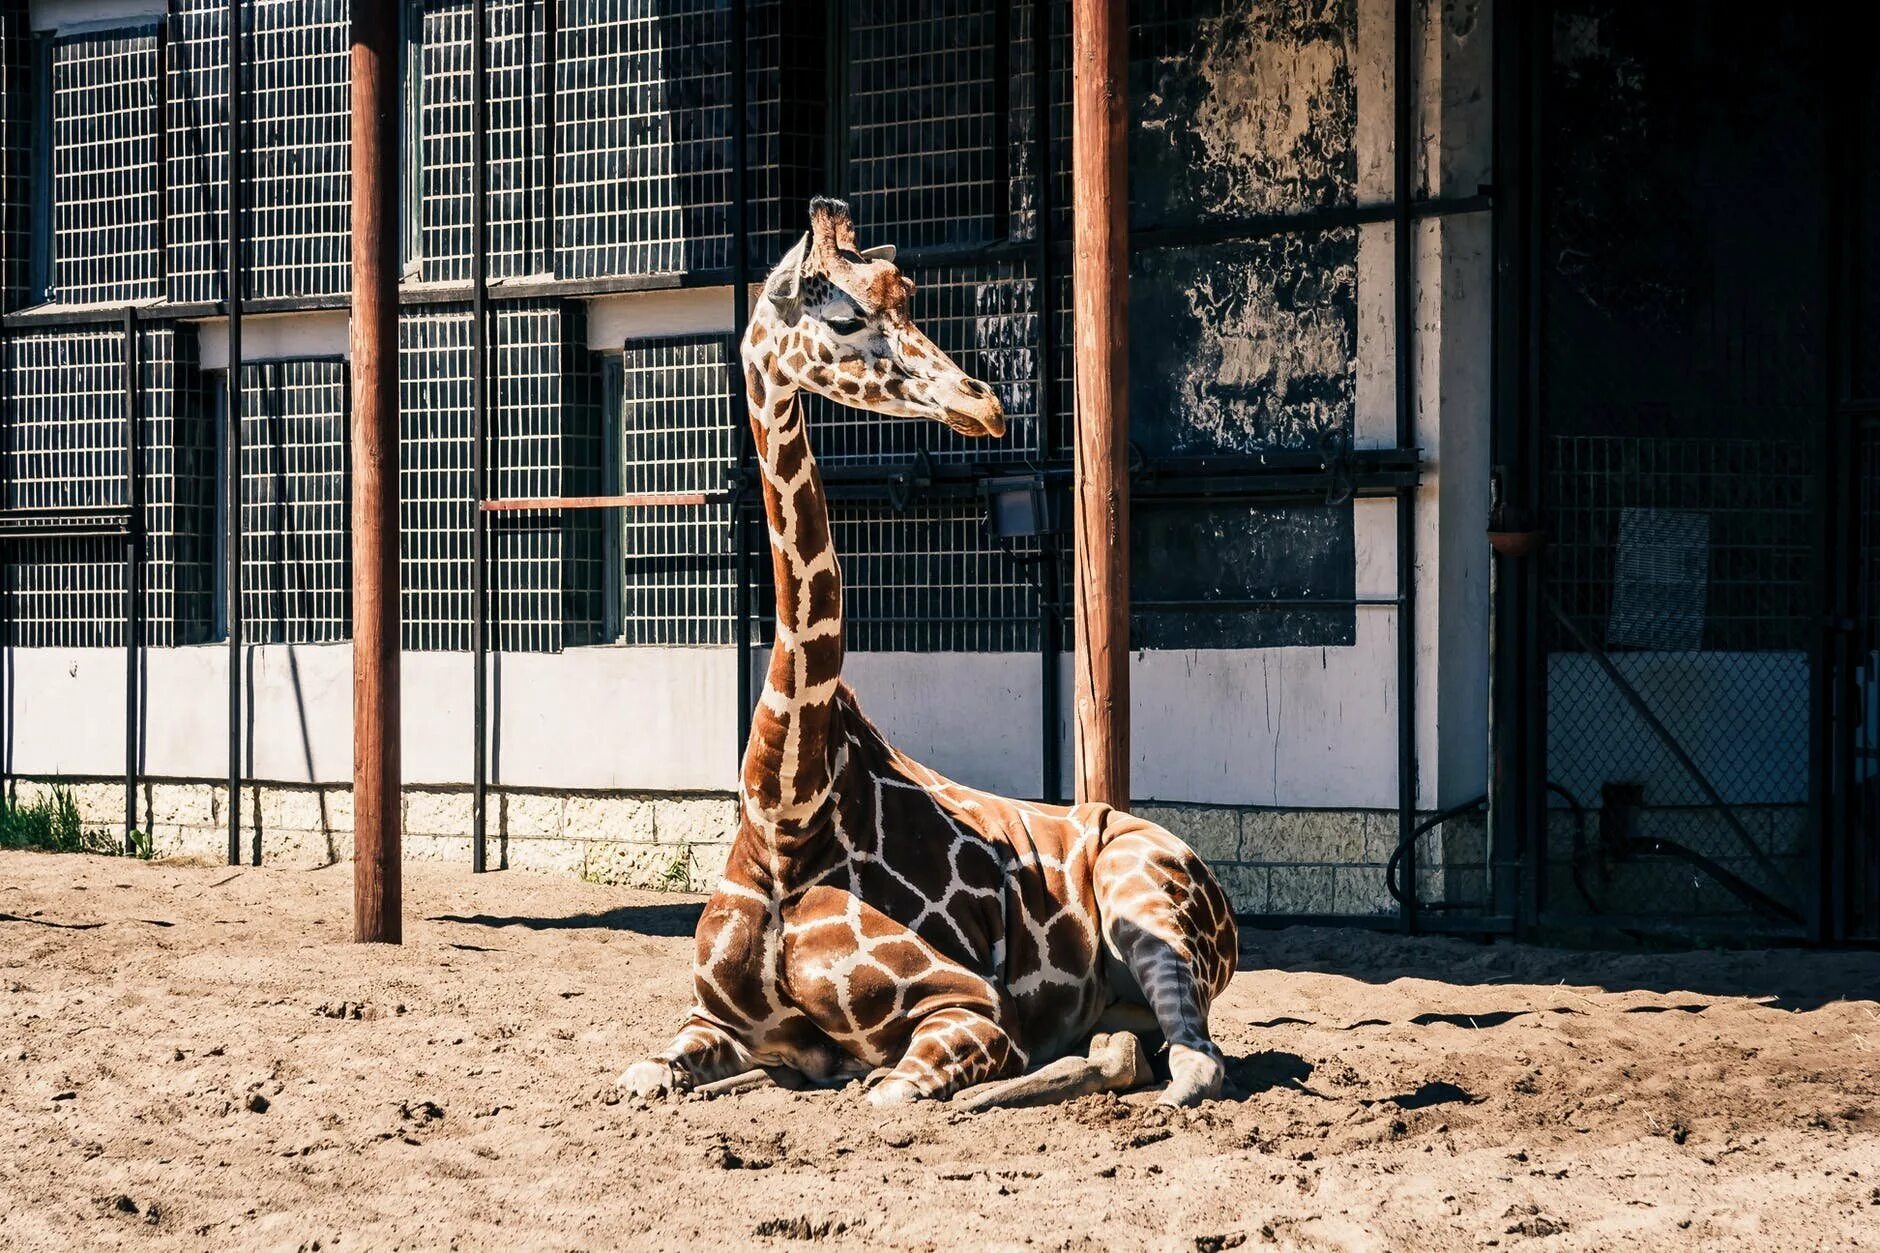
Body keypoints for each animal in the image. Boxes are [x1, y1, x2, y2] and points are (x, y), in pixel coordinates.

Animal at [616, 195, 1240, 1106]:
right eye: (845, 312)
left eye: (908, 298)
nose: (984, 403)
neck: (786, 811)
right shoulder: (709, 1022)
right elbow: (649, 1072)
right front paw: (759, 1076)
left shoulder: (965, 1006)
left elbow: (893, 1089)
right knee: (1124, 1048)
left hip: (1149, 898)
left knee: (1192, 1063)